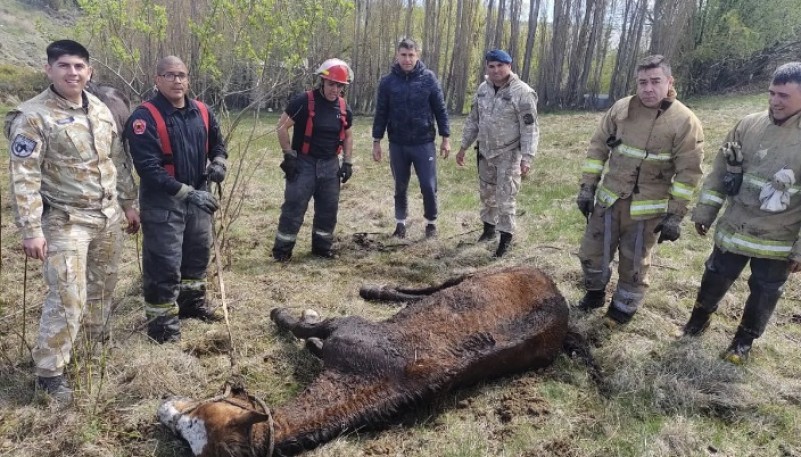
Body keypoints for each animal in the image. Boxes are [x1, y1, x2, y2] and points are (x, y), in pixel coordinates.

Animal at [156, 266, 568, 454]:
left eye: (197, 414)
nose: (162, 409)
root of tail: (556, 292)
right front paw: (311, 344)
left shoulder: (347, 327)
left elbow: (302, 325)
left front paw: (285, 315)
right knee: (425, 292)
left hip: (487, 273)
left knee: (431, 288)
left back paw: (372, 289)